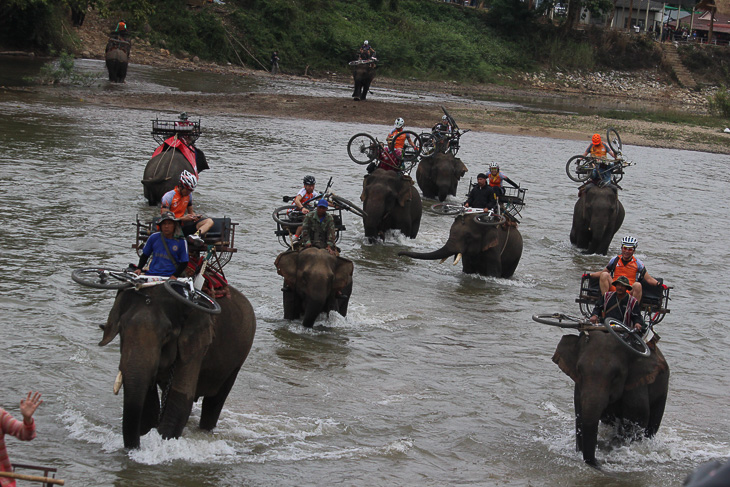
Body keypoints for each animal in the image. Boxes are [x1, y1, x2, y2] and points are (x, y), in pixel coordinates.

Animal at [98, 286, 255, 450]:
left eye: (167, 334)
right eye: (121, 328)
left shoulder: (196, 346)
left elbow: (180, 400)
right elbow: (149, 405)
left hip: (237, 360)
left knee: (214, 402)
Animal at [552, 330, 664, 468]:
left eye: (616, 376)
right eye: (579, 371)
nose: (597, 463)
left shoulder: (636, 387)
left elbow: (637, 420)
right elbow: (580, 415)